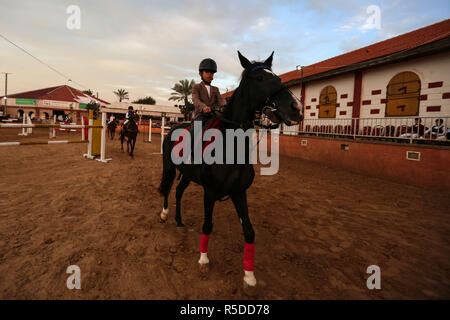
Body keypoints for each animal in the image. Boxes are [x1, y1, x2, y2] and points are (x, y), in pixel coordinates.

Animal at [158, 52, 302, 296]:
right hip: (169, 167)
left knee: (178, 191)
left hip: (187, 175)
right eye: (259, 78)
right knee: (168, 188)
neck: (230, 146)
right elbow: (208, 225)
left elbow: (249, 232)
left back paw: (178, 220)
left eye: (278, 78)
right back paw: (165, 214)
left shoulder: (239, 192)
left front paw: (250, 278)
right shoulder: (209, 192)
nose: (296, 108)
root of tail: (173, 129)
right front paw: (203, 261)